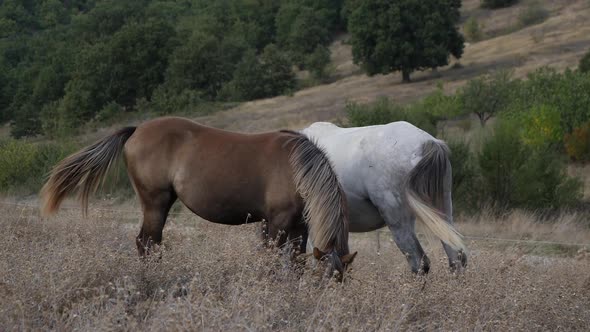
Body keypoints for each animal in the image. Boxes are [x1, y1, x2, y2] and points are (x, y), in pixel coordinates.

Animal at [41, 117, 358, 278]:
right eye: (324, 280)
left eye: (342, 280)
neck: (298, 168)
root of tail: (136, 130)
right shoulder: (276, 223)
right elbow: (269, 260)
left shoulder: (299, 227)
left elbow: (296, 261)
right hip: (155, 202)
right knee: (147, 242)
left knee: (149, 243)